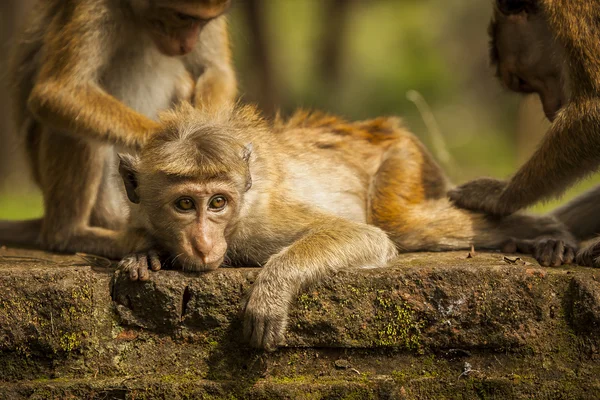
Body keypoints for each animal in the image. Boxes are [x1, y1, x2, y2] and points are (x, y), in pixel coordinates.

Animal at [1, 0, 238, 260]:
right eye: (183, 17)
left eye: (204, 21)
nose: (187, 45)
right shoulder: (92, 7)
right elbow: (58, 92)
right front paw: (174, 147)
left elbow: (215, 70)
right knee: (75, 130)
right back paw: (72, 235)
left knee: (184, 81)